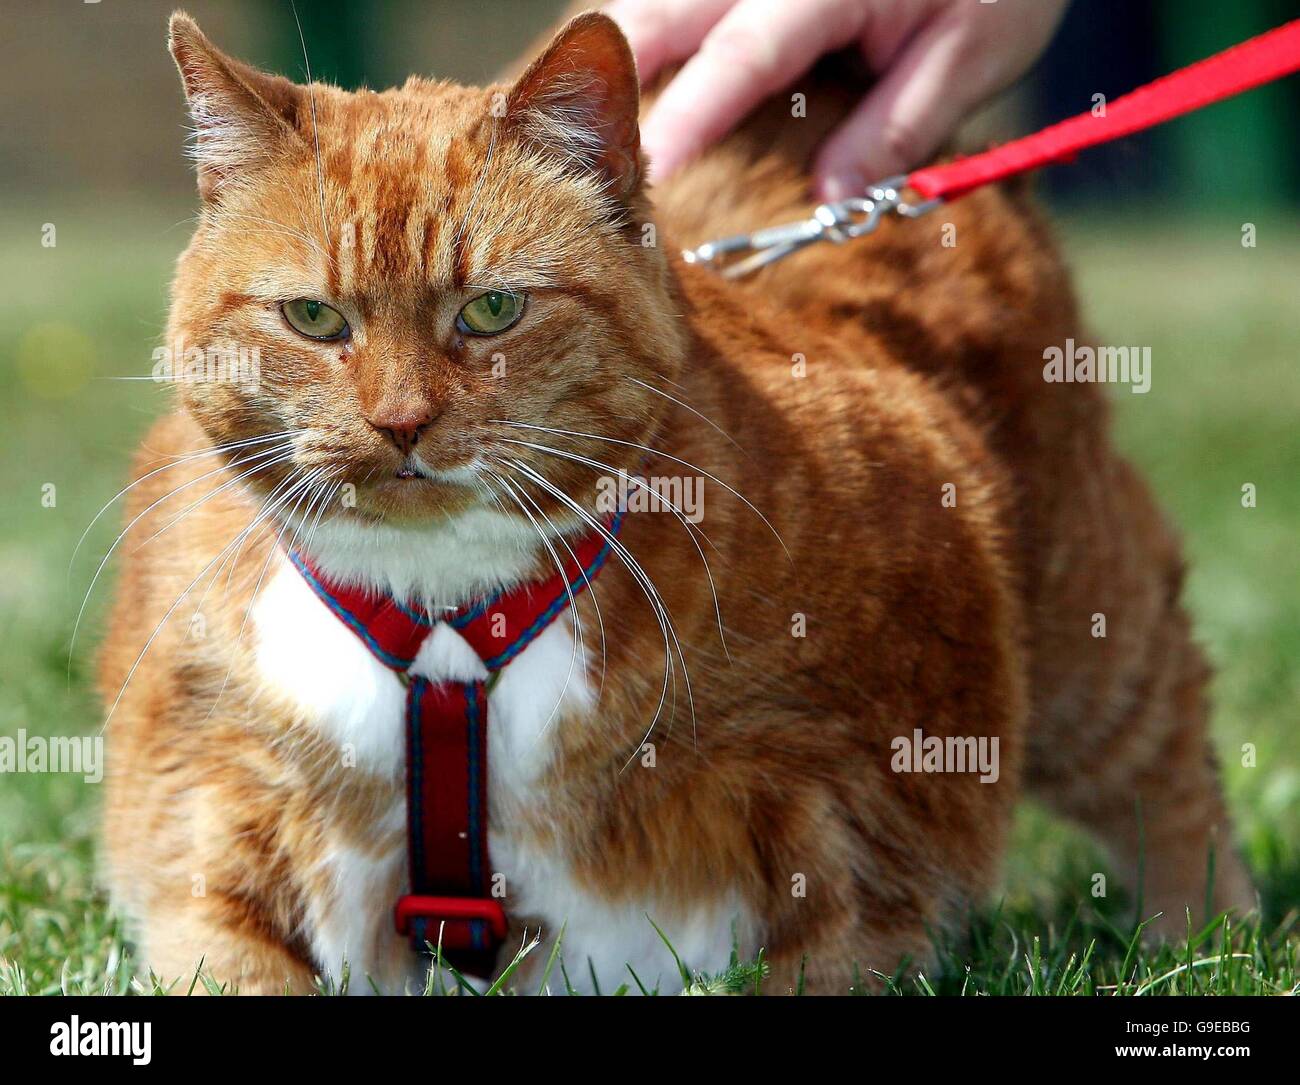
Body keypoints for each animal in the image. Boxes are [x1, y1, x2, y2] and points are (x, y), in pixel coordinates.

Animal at [96, 10, 1253, 992]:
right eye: (314, 318)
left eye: (493, 309)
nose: (399, 423)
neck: (448, 622)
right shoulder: (203, 811)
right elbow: (230, 942)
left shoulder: (873, 813)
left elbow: (838, 941)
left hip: (1083, 619)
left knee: (1164, 745)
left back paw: (1198, 930)